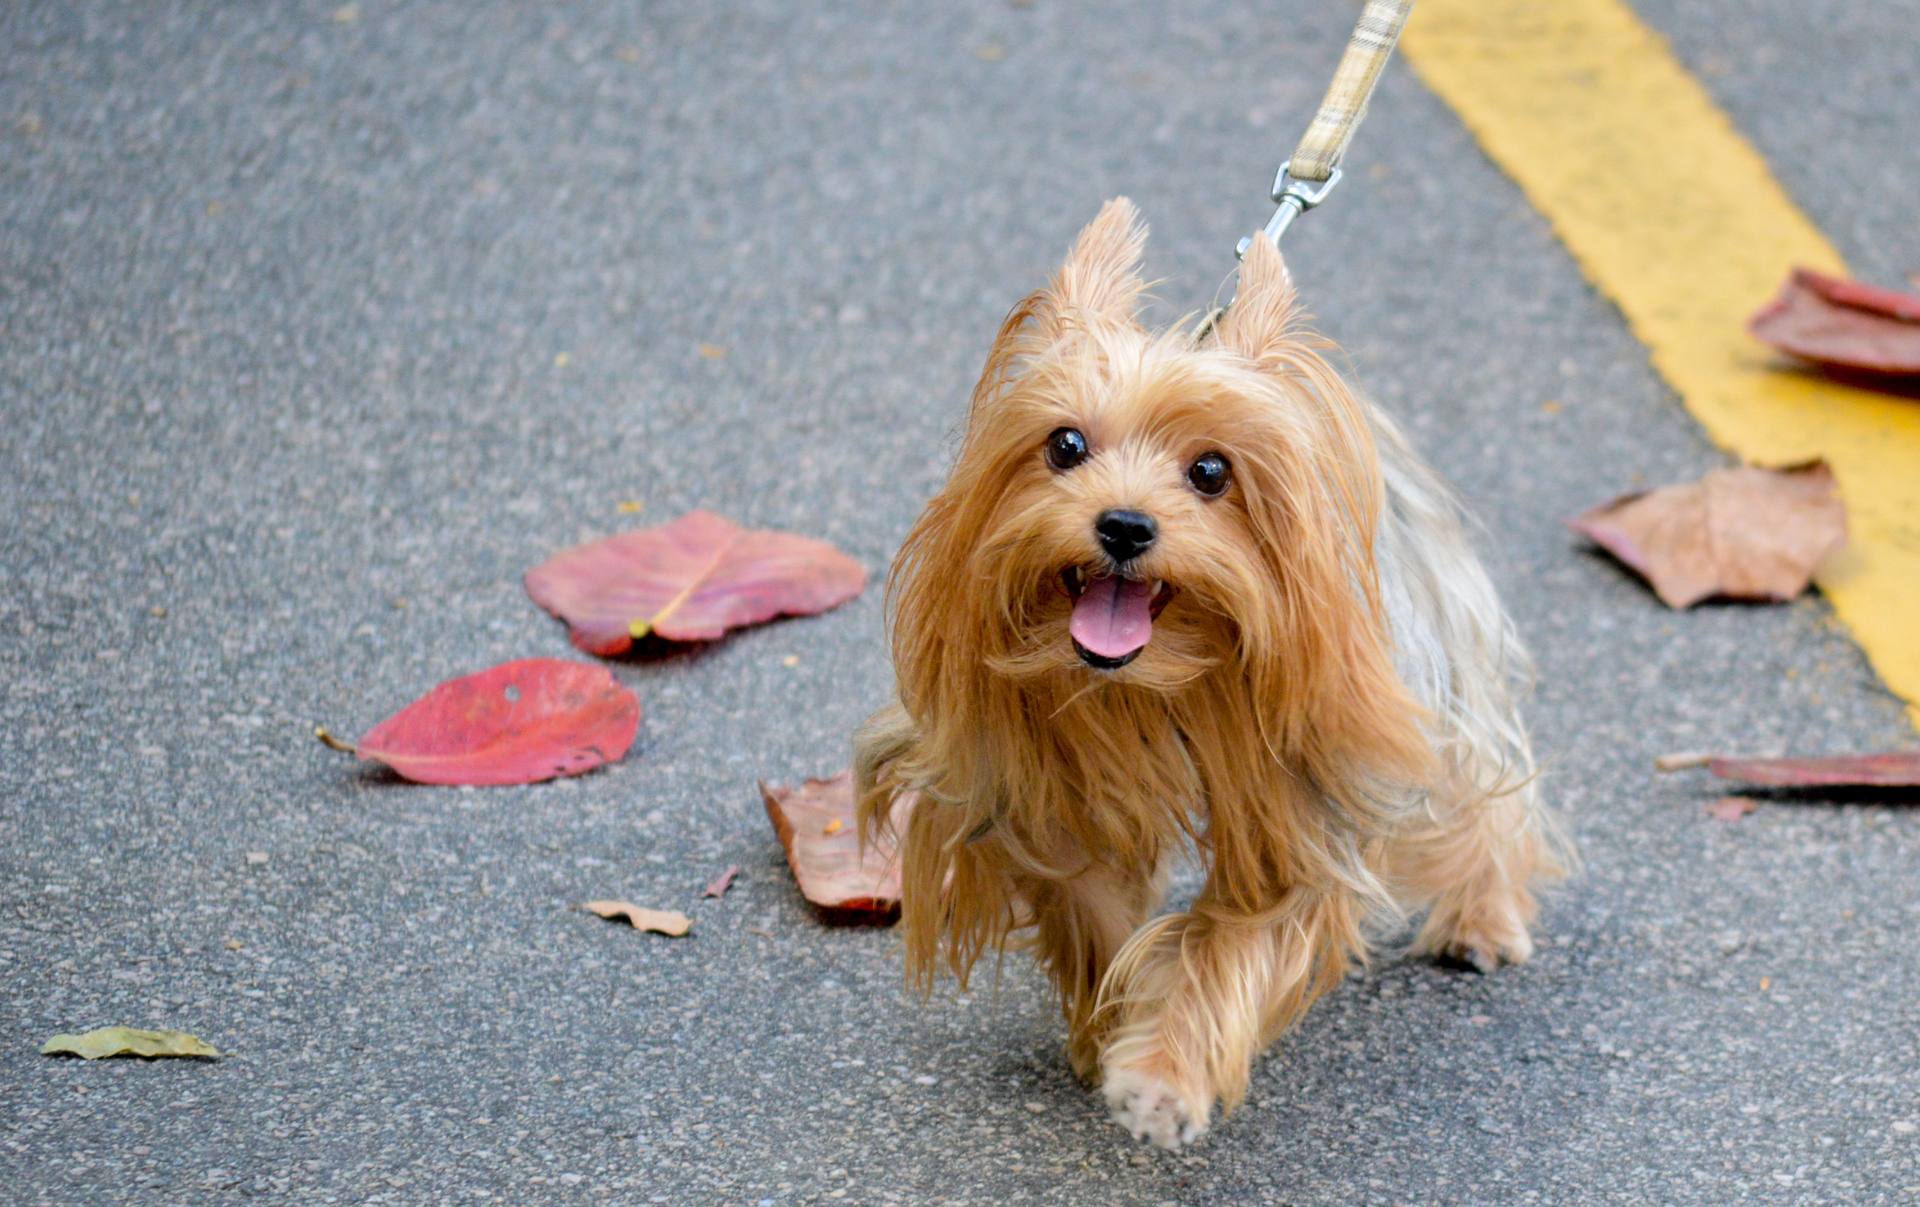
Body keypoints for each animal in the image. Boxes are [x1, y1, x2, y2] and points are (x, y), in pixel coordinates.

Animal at [860, 200, 1574, 1151]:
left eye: (1211, 470)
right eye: (1065, 444)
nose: (1124, 524)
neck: (1155, 677)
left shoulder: (1302, 799)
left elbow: (1228, 942)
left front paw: (1163, 1076)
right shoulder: (1045, 788)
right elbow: (1095, 904)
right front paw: (1115, 1022)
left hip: (1432, 651)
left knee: (1475, 779)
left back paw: (1482, 917)